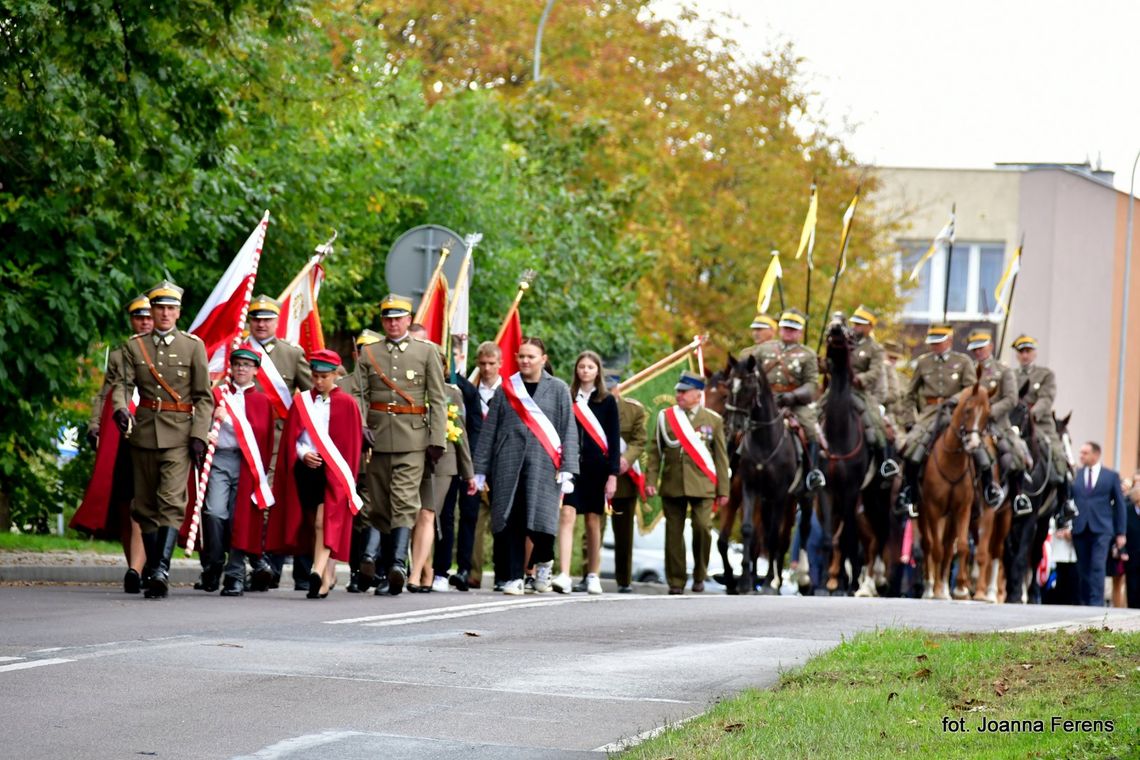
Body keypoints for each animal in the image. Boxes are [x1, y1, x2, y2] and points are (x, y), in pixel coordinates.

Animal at [916, 380, 989, 601]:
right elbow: (936, 548)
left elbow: (963, 546)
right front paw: (936, 590)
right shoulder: (933, 508)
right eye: (967, 410)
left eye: (987, 415)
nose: (974, 444)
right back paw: (931, 587)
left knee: (949, 547)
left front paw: (961, 588)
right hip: (925, 513)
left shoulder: (962, 508)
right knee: (929, 545)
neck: (951, 462)